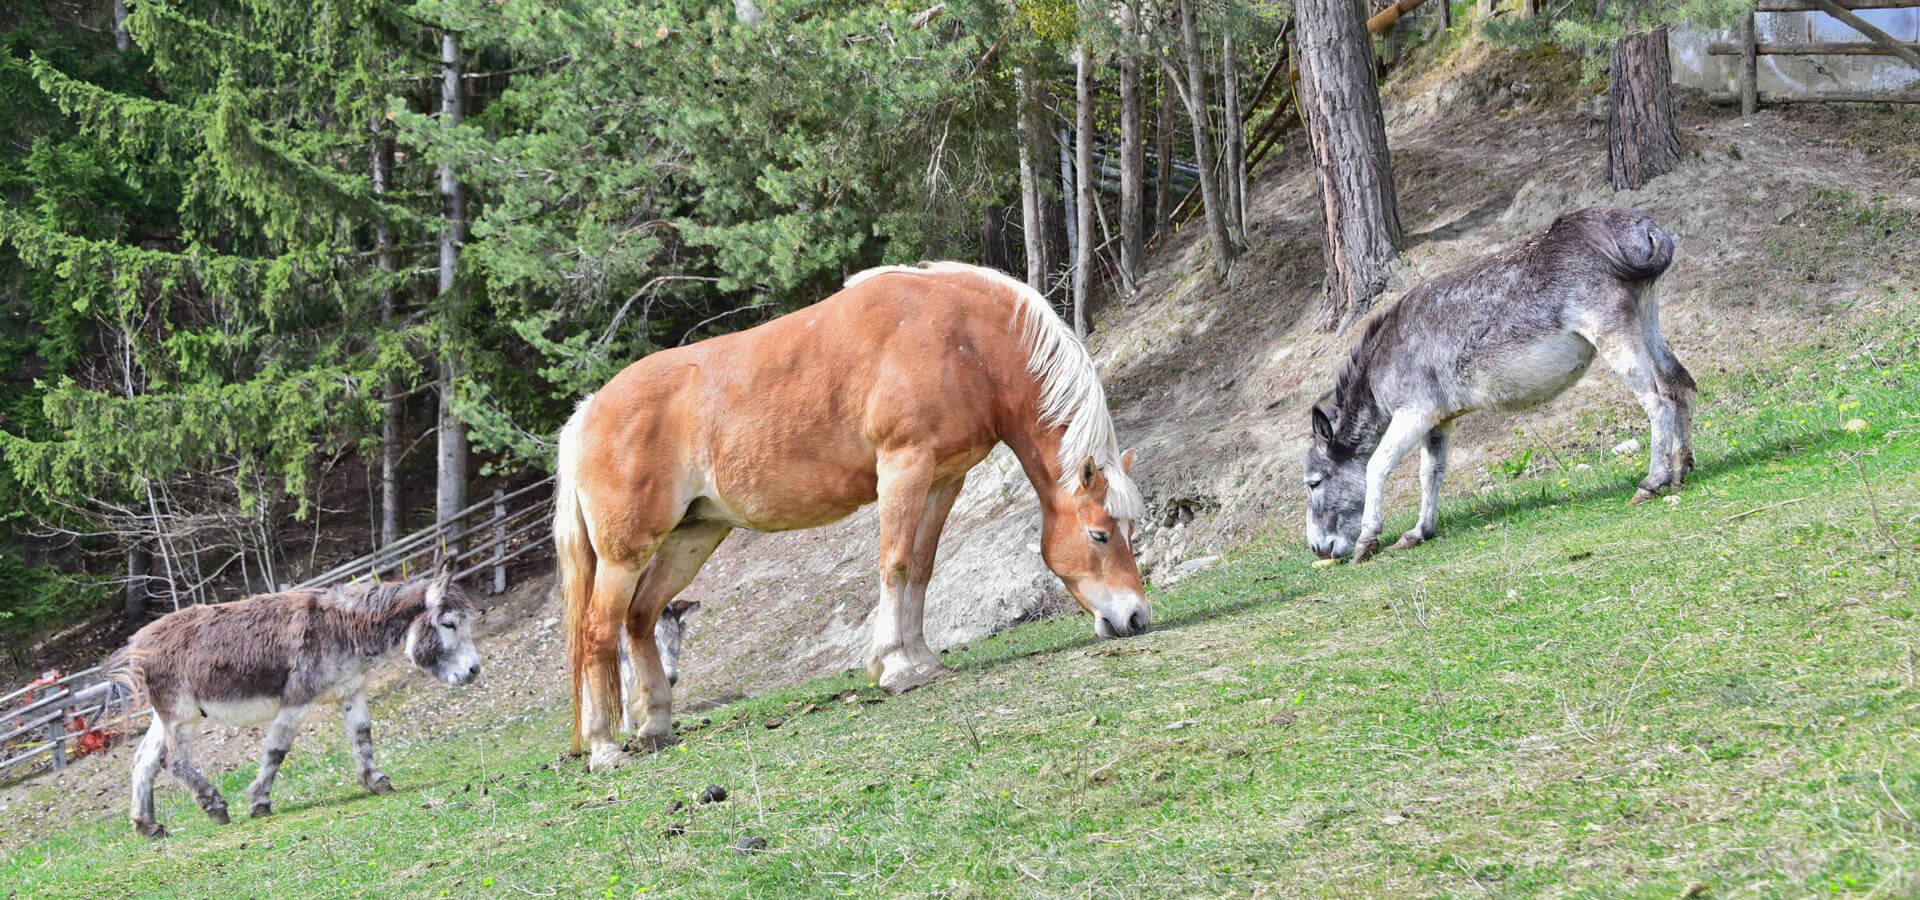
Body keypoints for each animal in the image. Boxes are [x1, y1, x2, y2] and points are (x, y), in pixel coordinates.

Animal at [108, 560, 480, 836]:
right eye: (448, 624)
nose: (474, 670)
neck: (343, 627)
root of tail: (138, 642)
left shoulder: (351, 690)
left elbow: (362, 735)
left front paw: (376, 781)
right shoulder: (298, 700)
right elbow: (277, 749)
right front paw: (259, 801)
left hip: (166, 715)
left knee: (143, 761)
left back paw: (147, 826)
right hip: (181, 713)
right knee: (171, 759)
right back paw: (214, 805)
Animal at [560, 260, 1152, 771]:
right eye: (1099, 535)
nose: (1136, 619)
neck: (961, 336)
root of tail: (587, 412)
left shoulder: (943, 480)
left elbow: (921, 568)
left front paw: (922, 661)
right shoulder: (903, 466)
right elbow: (895, 563)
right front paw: (895, 666)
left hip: (693, 537)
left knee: (639, 618)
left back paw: (656, 725)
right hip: (624, 554)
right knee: (598, 631)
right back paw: (604, 748)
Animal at [1305, 209, 1697, 560]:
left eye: (1314, 482)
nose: (1317, 548)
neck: (1386, 353)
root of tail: (1641, 225)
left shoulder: (1415, 413)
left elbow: (1378, 466)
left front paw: (1367, 540)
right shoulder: (1438, 421)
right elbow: (1430, 473)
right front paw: (1419, 532)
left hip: (1615, 336)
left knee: (1658, 399)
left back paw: (1653, 481)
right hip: (1647, 322)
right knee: (1681, 385)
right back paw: (1681, 470)